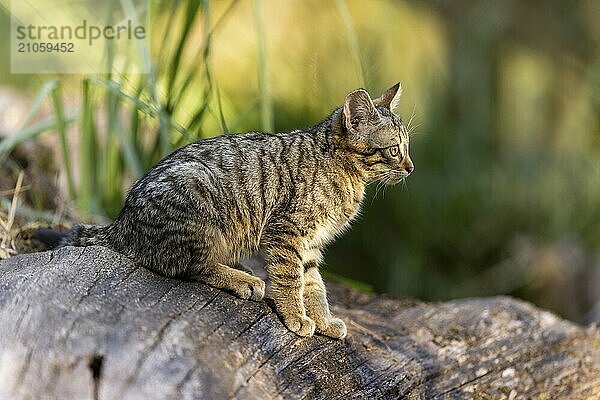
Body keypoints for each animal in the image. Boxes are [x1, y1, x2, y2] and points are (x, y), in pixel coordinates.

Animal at [37, 83, 412, 338]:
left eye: (406, 148)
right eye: (394, 149)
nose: (410, 167)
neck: (344, 172)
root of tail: (122, 222)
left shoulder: (312, 244)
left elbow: (314, 285)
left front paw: (322, 320)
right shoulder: (287, 232)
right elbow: (290, 279)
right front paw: (296, 316)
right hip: (198, 202)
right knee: (189, 266)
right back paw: (243, 280)